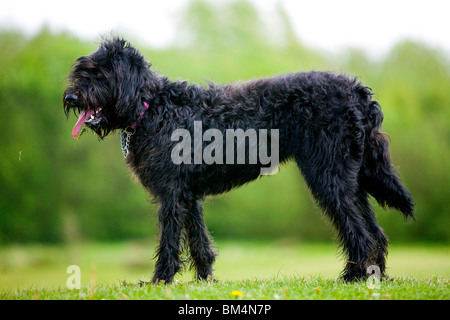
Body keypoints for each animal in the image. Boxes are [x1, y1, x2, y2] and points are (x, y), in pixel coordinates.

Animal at [63, 38, 414, 284]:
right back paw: (374, 276)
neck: (152, 107)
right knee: (374, 231)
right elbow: (199, 241)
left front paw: (159, 280)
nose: (70, 98)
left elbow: (170, 241)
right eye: (80, 72)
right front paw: (204, 281)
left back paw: (352, 277)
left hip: (330, 177)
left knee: (360, 231)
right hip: (351, 181)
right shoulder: (188, 195)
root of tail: (358, 91)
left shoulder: (172, 195)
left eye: (99, 74)